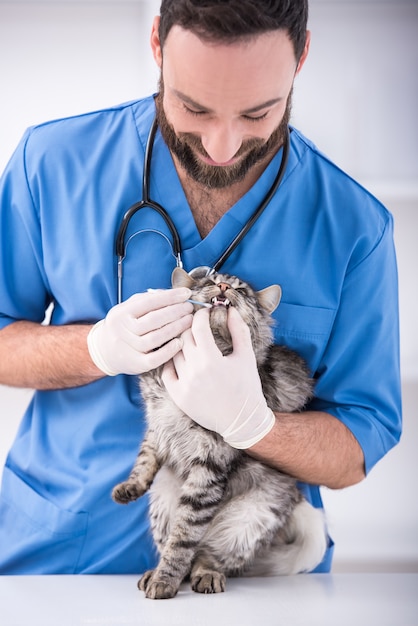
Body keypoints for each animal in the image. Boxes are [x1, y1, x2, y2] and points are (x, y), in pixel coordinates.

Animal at [112, 266, 328, 596]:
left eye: (240, 290)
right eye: (212, 282)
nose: (224, 287)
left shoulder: (209, 464)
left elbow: (183, 540)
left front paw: (165, 581)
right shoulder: (157, 426)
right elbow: (145, 460)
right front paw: (130, 486)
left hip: (246, 522)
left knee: (204, 555)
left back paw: (202, 575)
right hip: (162, 502)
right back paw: (153, 571)